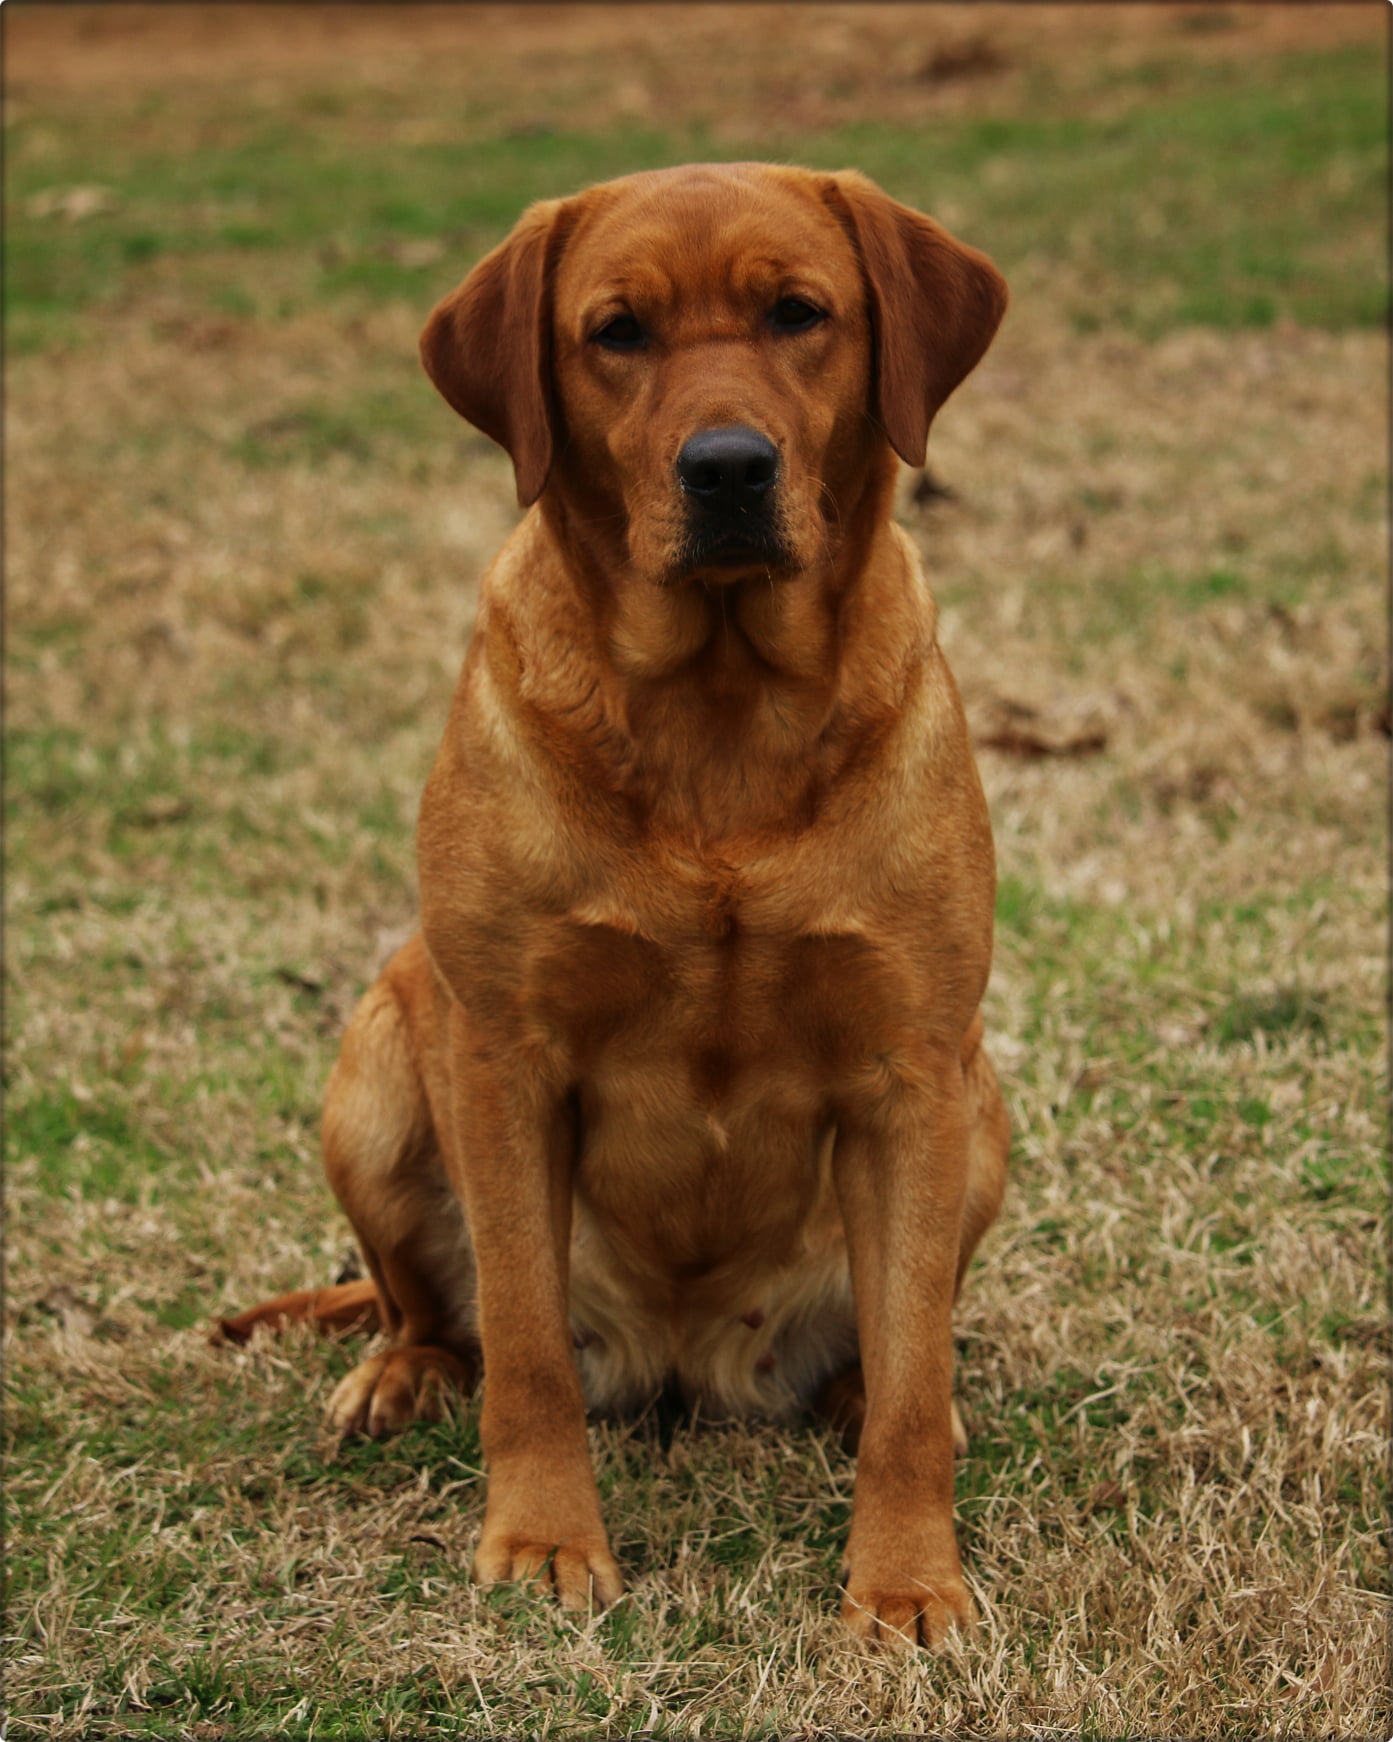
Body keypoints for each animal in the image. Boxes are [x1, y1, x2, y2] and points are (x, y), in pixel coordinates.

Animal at [222, 166, 1009, 1644]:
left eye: (797, 312)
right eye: (617, 333)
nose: (728, 468)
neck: (720, 717)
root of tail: (683, 1361)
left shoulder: (912, 1069)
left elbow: (913, 1382)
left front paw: (905, 1579)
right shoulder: (503, 1054)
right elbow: (525, 1347)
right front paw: (543, 1540)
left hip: (981, 1119)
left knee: (898, 1349)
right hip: (378, 1070)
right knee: (432, 1311)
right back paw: (398, 1375)